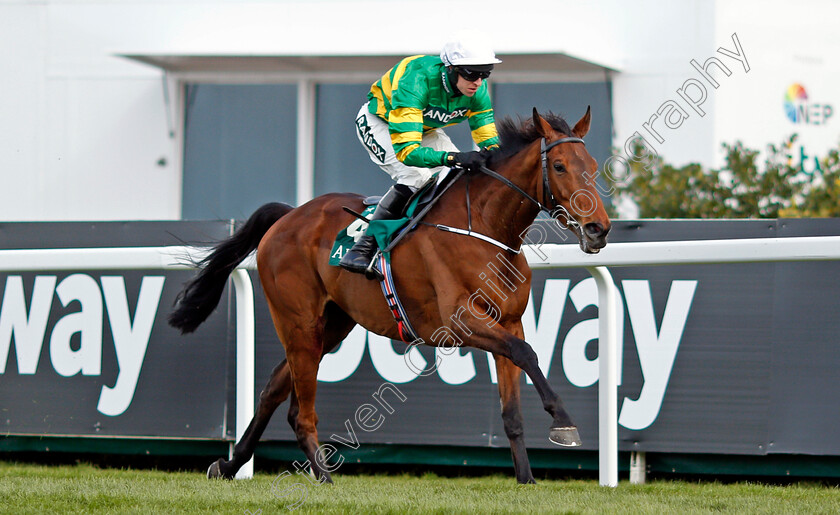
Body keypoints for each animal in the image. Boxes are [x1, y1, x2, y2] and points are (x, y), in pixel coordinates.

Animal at [169, 107, 612, 486]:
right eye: (559, 166)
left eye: (591, 167)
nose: (599, 229)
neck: (486, 229)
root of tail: (289, 215)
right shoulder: (460, 323)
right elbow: (528, 355)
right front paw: (564, 423)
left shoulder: (509, 321)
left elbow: (513, 405)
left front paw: (526, 478)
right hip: (298, 321)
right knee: (301, 409)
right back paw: (322, 476)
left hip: (331, 324)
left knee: (274, 391)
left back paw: (229, 465)